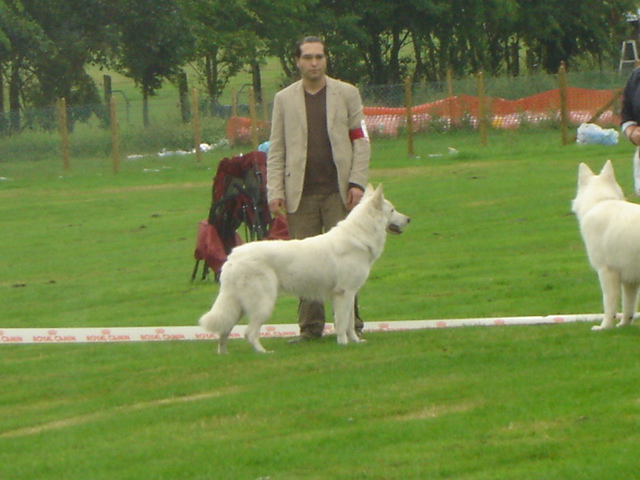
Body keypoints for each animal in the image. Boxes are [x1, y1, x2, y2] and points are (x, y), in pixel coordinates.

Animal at [199, 184, 410, 352]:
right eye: (392, 210)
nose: (409, 219)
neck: (360, 236)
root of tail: (233, 257)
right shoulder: (343, 294)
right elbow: (342, 324)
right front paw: (343, 344)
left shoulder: (349, 294)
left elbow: (350, 324)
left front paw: (356, 342)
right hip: (263, 303)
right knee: (249, 333)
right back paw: (264, 353)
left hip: (238, 305)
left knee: (224, 331)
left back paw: (224, 355)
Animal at [572, 161, 640, 330]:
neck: (601, 200)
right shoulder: (630, 281)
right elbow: (629, 307)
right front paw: (624, 325)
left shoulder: (607, 272)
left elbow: (609, 303)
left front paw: (604, 327)